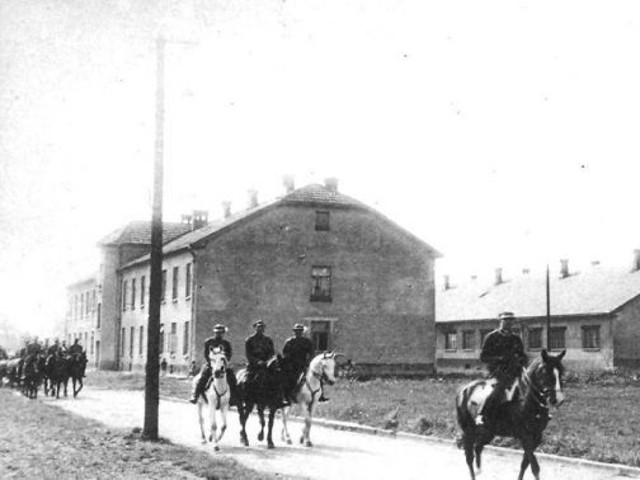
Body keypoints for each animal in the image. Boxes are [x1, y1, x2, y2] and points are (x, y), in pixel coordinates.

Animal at [456, 349, 566, 480]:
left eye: (561, 372)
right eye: (546, 372)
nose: (558, 399)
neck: (526, 400)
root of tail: (464, 390)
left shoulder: (537, 436)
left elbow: (525, 464)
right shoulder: (526, 437)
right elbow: (535, 467)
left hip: (489, 432)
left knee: (478, 448)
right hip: (469, 431)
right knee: (469, 457)